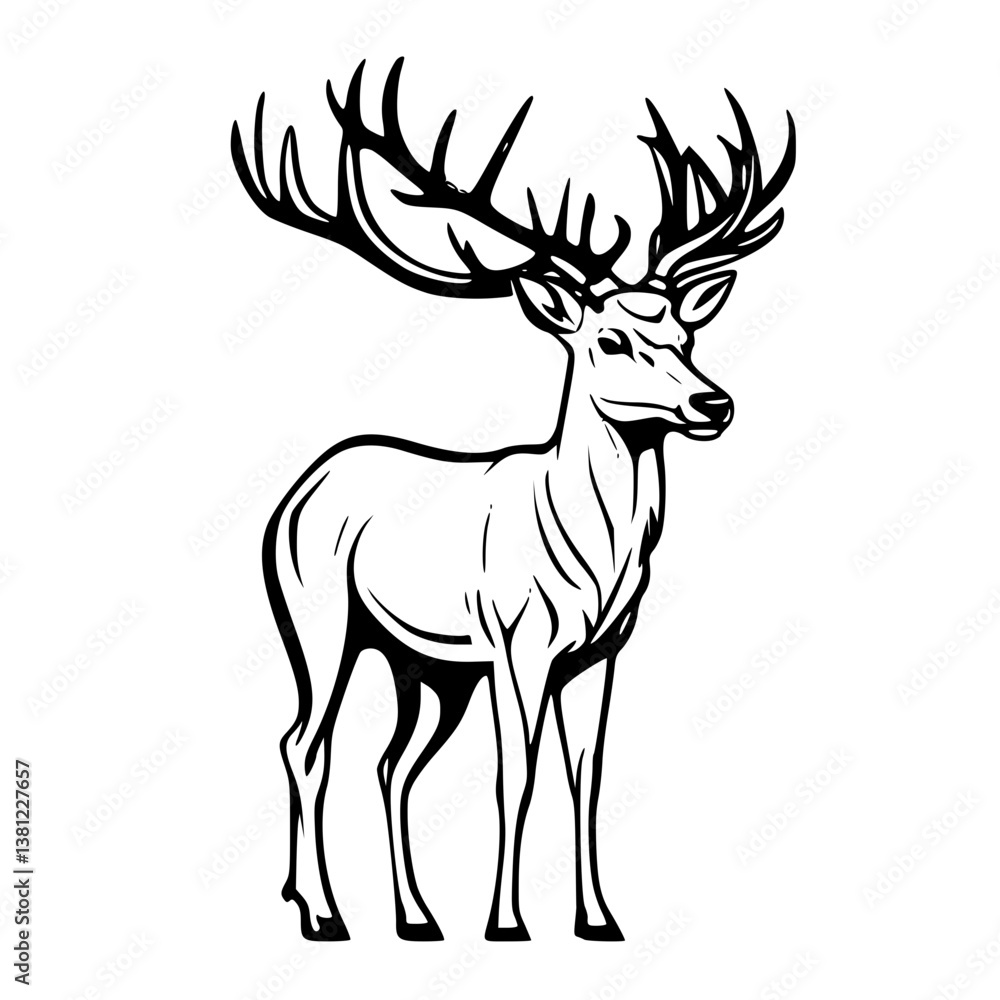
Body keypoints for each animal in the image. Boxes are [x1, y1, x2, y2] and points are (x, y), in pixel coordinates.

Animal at [231, 57, 795, 943]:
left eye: (685, 333)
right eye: (610, 339)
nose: (714, 403)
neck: (592, 559)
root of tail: (295, 494)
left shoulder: (600, 651)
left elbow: (584, 776)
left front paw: (599, 918)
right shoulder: (518, 639)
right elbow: (515, 774)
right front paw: (506, 921)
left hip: (428, 668)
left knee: (391, 762)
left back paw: (415, 916)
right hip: (318, 619)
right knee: (303, 743)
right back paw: (319, 909)